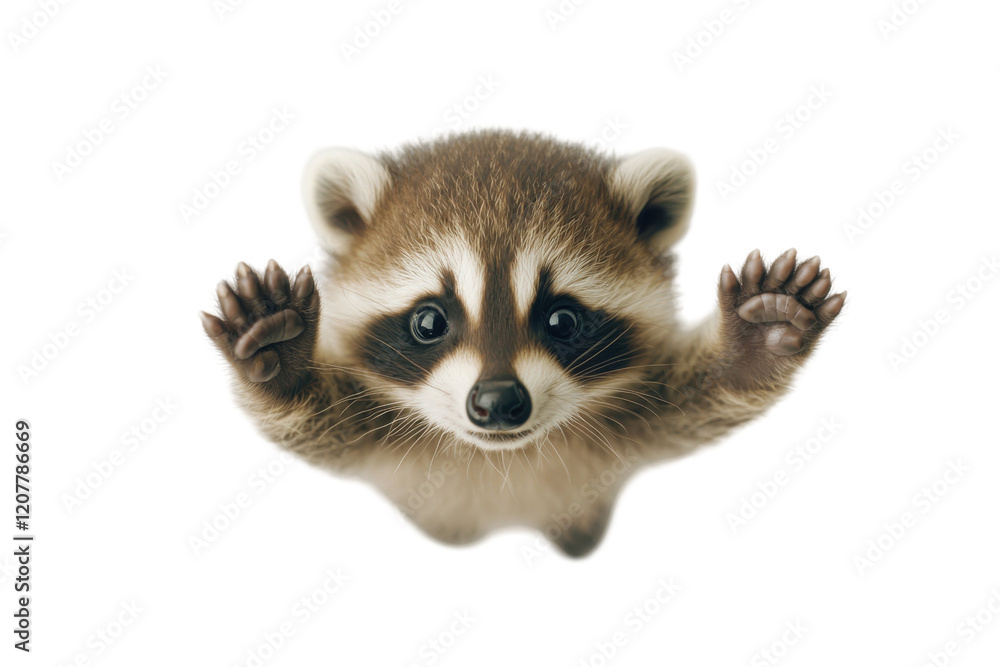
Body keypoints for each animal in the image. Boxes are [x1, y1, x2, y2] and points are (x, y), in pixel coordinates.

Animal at [201, 130, 844, 557]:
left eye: (561, 320)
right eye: (429, 322)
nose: (498, 402)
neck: (502, 459)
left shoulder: (628, 418)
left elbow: (697, 403)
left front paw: (752, 347)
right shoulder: (381, 427)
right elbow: (320, 422)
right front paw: (282, 364)